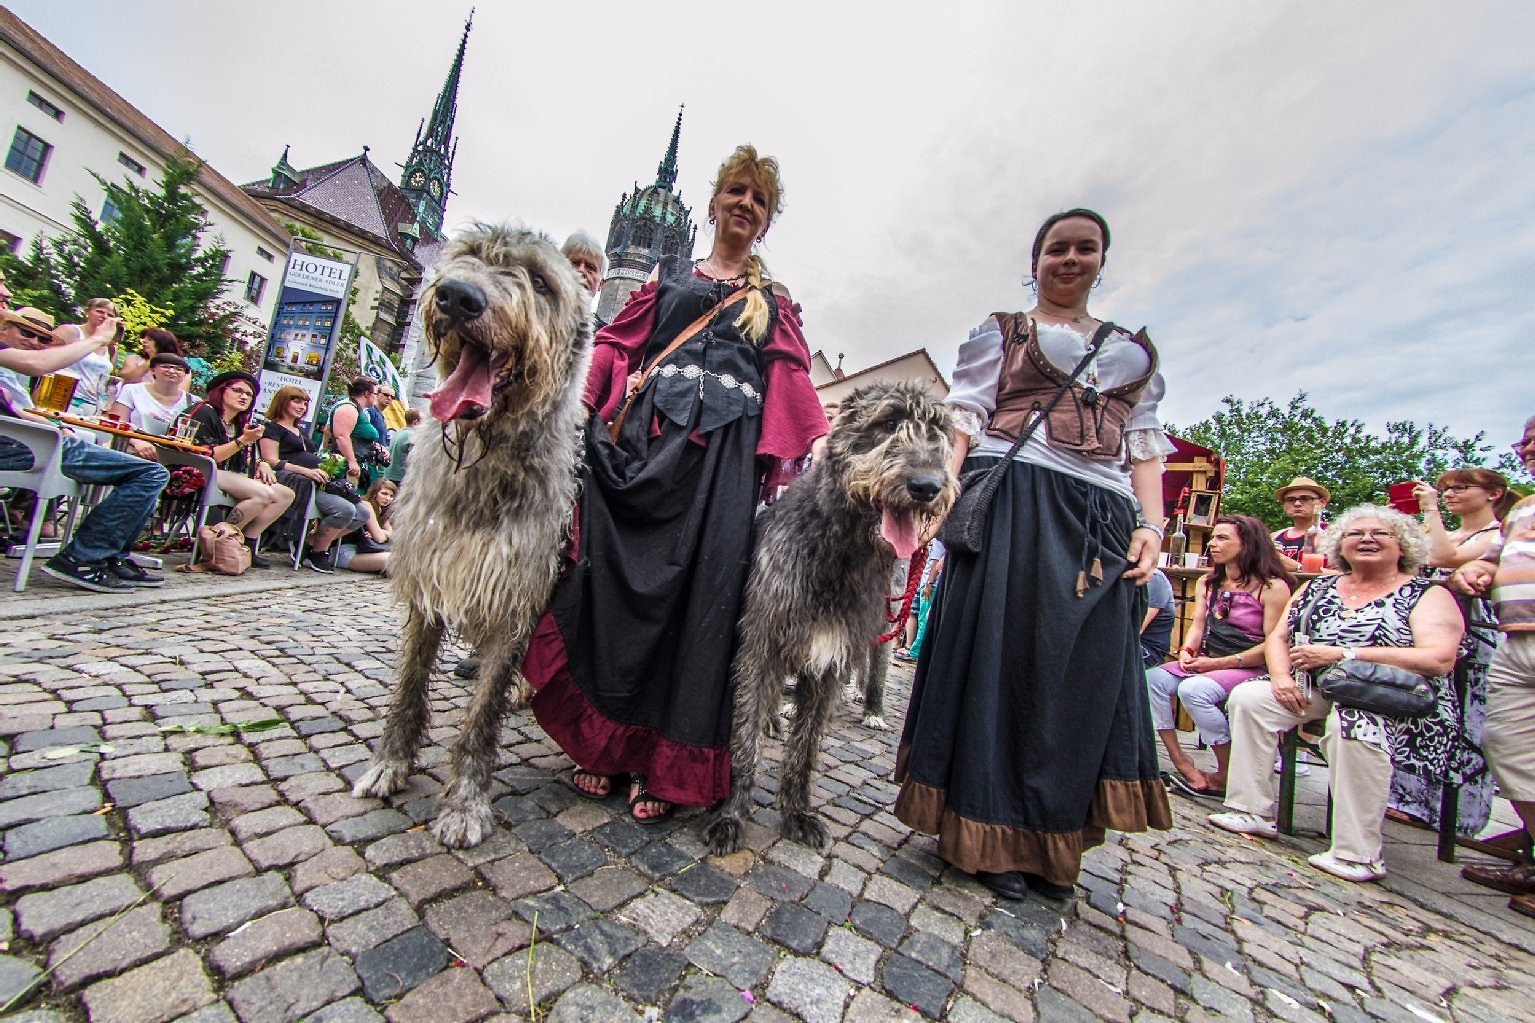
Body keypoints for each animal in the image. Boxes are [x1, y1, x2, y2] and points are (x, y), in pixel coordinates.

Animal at [353, 227, 592, 847]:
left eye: (540, 281)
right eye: (468, 256)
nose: (458, 297)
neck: (486, 456)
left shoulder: (516, 593)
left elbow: (482, 711)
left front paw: (464, 801)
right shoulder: (428, 577)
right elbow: (411, 679)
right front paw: (390, 761)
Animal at [709, 377, 951, 847]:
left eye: (939, 433)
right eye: (887, 423)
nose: (927, 486)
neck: (838, 549)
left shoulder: (831, 659)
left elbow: (805, 749)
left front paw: (797, 813)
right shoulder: (759, 647)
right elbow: (743, 736)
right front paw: (732, 815)